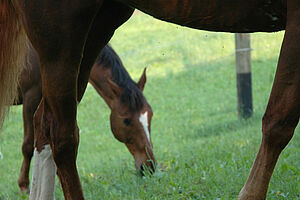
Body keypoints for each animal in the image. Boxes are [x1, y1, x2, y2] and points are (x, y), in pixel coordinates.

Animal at [13, 44, 155, 194]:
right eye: (126, 120)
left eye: (150, 114)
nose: (149, 166)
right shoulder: (31, 97)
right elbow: (28, 145)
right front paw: (24, 186)